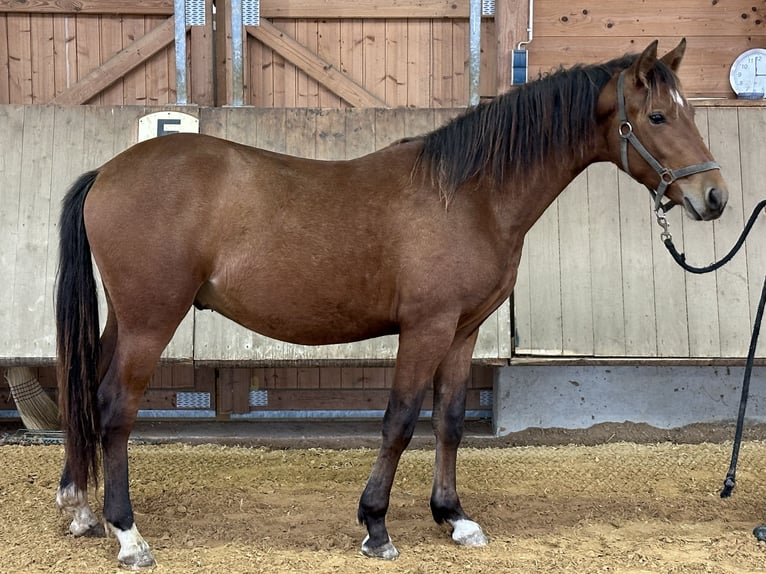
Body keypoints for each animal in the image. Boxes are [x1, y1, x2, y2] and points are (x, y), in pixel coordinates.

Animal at [54, 39, 727, 568]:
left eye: (690, 112)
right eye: (658, 116)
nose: (715, 196)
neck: (470, 195)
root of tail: (107, 172)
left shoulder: (462, 332)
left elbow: (449, 421)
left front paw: (454, 516)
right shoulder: (425, 328)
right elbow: (400, 421)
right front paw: (375, 527)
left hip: (124, 320)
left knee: (86, 393)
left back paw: (81, 509)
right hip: (151, 321)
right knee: (115, 407)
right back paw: (127, 534)